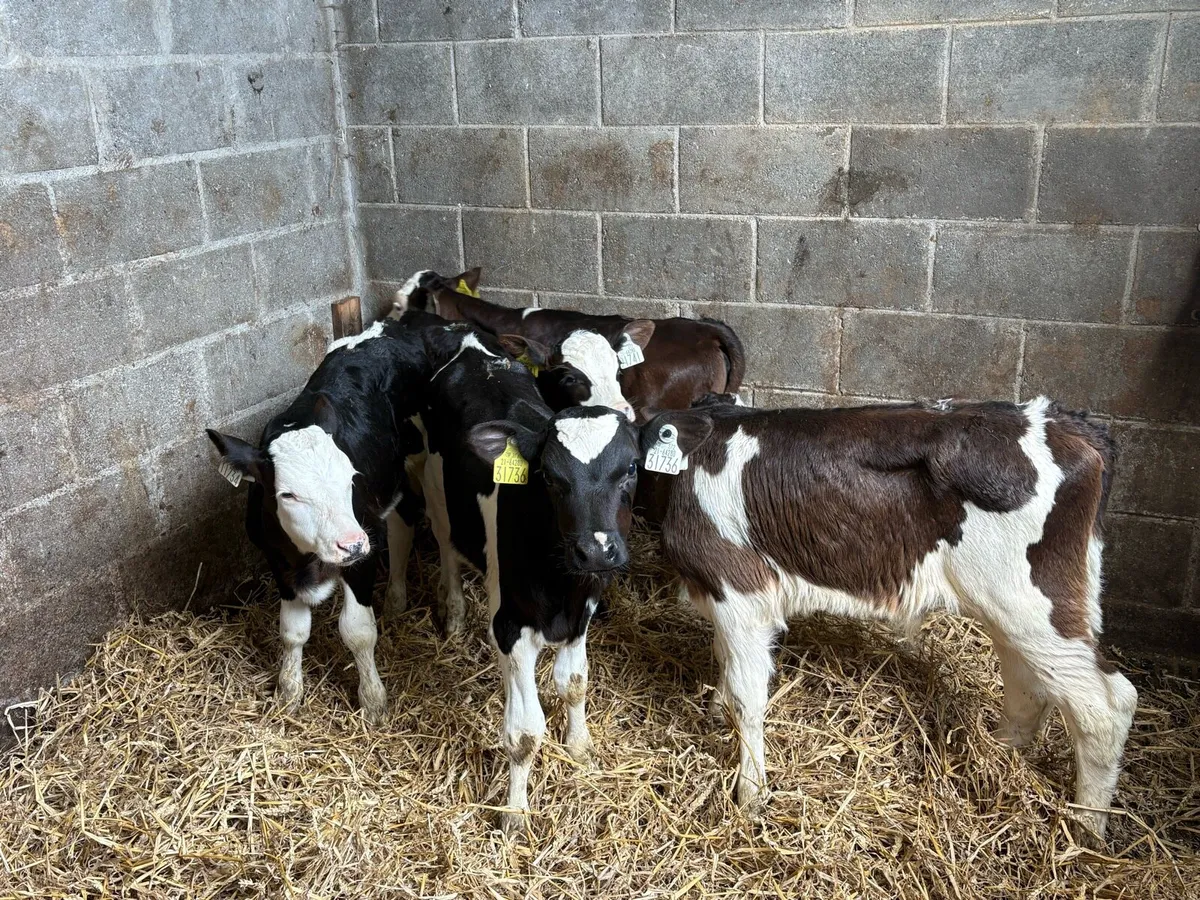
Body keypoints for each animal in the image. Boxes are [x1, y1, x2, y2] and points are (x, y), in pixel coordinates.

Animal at [205, 320, 430, 724]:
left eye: (350, 477)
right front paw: (288, 692)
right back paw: (396, 598)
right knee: (403, 520)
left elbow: (357, 630)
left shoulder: (364, 549)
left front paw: (373, 702)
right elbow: (293, 631)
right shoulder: (277, 561)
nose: (351, 543)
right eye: (288, 495)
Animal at [414, 319, 697, 833]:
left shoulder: (583, 611)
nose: (596, 549)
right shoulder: (510, 626)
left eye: (631, 468)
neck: (561, 585)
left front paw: (580, 747)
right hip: (432, 477)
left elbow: (576, 682)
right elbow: (524, 732)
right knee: (446, 543)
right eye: (546, 475)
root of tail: (465, 334)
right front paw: (514, 813)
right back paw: (455, 613)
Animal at [641, 395, 1137, 843]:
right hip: (1018, 605)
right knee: (1027, 683)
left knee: (1106, 704)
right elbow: (723, 657)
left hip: (1030, 602)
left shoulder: (737, 588)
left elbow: (748, 697)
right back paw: (998, 756)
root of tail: (1065, 422)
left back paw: (1087, 829)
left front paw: (751, 794)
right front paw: (716, 709)